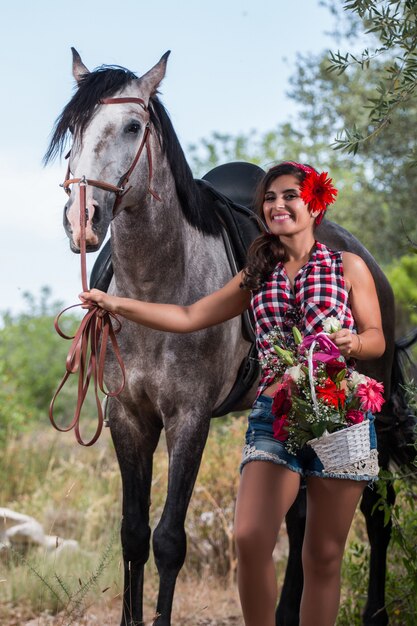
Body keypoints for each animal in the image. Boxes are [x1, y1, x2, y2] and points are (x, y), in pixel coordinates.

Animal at [46, 50, 412, 624]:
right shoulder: (128, 417)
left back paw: (374, 611)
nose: (81, 218)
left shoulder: (189, 418)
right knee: (300, 519)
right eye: (72, 132)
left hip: (362, 409)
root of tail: (366, 258)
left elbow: (168, 539)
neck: (159, 288)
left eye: (132, 126)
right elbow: (132, 534)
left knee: (376, 513)